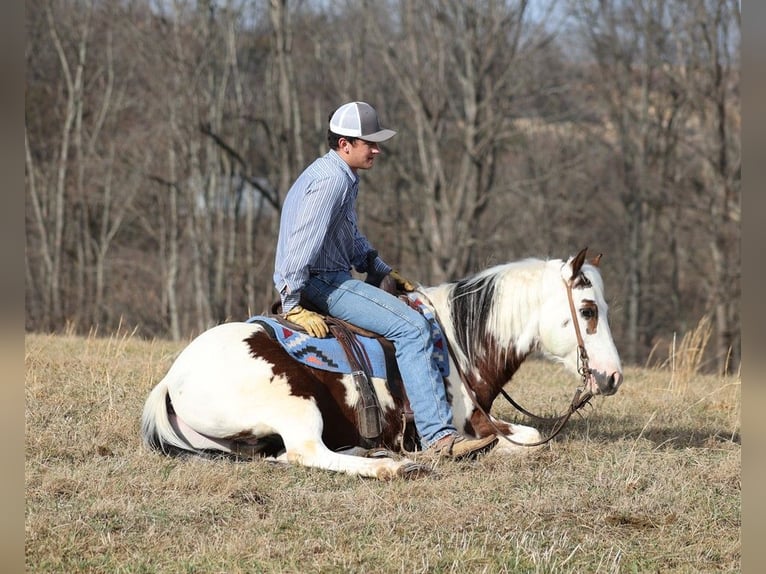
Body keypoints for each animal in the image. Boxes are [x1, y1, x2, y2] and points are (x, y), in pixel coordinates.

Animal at [142, 250, 624, 480]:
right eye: (587, 310)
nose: (613, 377)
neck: (455, 340)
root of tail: (172, 378)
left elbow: (529, 435)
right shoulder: (468, 424)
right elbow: (528, 440)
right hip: (294, 403)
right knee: (303, 453)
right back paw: (392, 466)